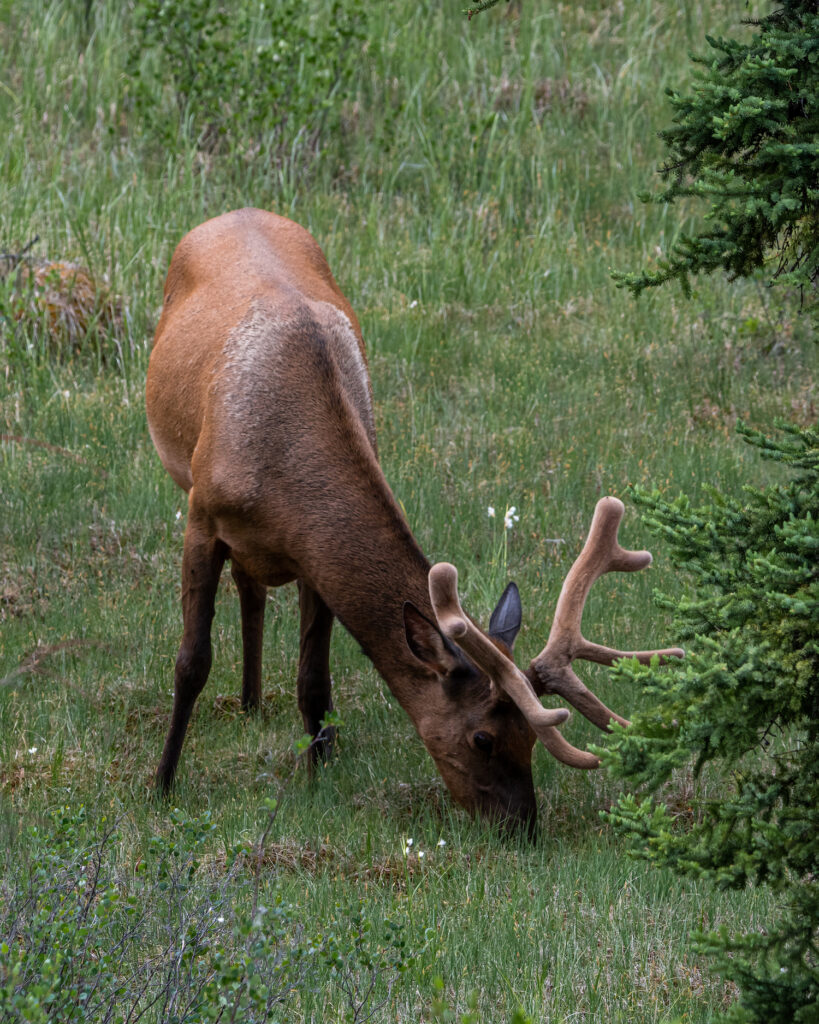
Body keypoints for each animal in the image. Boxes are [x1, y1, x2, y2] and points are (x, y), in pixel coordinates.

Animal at [147, 205, 683, 831]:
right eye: (482, 738)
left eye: (531, 738)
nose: (522, 824)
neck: (279, 467)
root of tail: (235, 211)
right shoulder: (202, 518)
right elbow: (191, 662)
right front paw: (162, 784)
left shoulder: (310, 556)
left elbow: (314, 680)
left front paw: (319, 773)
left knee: (251, 585)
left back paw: (254, 703)